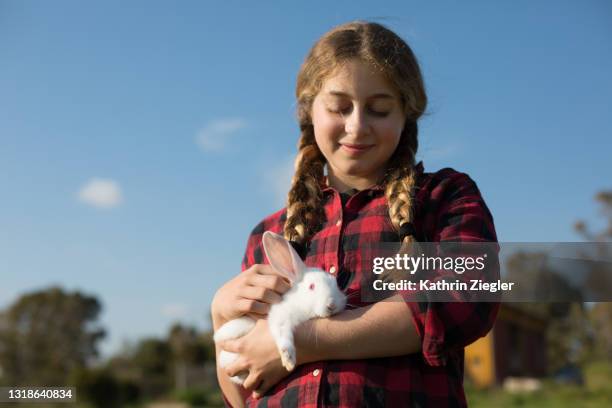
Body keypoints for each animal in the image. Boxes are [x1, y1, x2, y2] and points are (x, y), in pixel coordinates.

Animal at [214, 231, 346, 384]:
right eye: (311, 286)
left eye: (337, 284)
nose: (332, 305)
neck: (302, 305)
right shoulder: (280, 316)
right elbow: (283, 335)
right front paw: (289, 360)